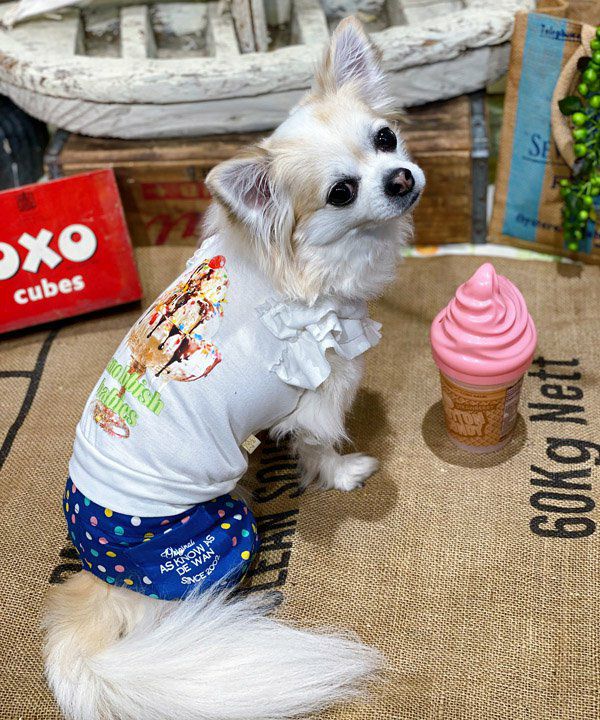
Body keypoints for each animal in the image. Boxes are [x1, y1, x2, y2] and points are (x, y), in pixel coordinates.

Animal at [43, 16, 425, 720]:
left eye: (385, 139)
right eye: (341, 193)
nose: (400, 178)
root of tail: (96, 572)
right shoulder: (320, 392)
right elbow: (320, 444)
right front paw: (343, 473)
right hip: (216, 535)